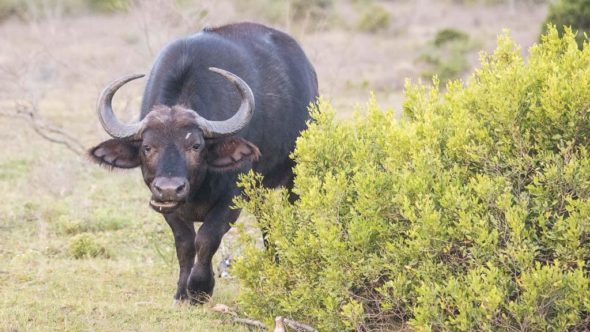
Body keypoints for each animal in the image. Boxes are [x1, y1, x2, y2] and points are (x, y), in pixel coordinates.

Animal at [89, 22, 320, 304]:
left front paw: (200, 288)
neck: (197, 187)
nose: (169, 189)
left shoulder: (231, 199)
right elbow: (185, 244)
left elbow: (206, 239)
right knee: (266, 218)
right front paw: (181, 290)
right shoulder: (169, 209)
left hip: (295, 174)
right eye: (147, 147)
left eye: (195, 145)